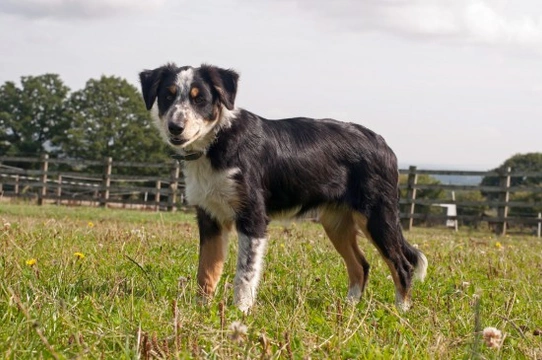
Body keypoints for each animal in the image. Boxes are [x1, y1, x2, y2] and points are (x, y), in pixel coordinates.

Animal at [140, 64, 430, 312]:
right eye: (167, 96)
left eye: (199, 99)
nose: (175, 128)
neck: (218, 141)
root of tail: (382, 142)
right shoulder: (209, 217)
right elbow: (207, 270)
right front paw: (201, 311)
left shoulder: (253, 217)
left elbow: (244, 274)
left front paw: (240, 312)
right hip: (337, 222)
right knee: (360, 265)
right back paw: (348, 308)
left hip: (377, 216)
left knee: (402, 265)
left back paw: (401, 312)